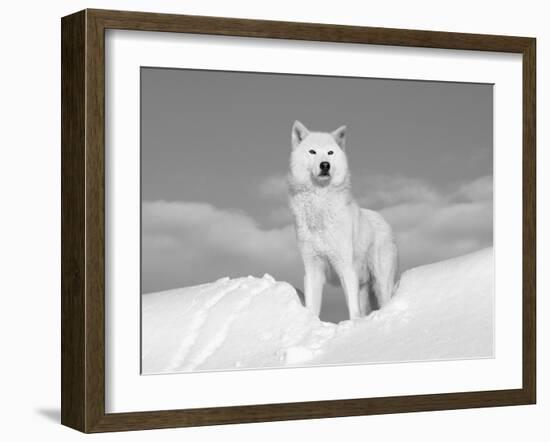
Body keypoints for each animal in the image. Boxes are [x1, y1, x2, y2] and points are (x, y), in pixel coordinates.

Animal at [286, 121, 398, 322]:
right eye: (312, 151)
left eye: (330, 152)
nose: (325, 165)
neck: (320, 206)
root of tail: (383, 218)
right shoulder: (312, 269)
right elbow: (312, 307)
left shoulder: (346, 267)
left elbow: (352, 309)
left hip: (381, 282)